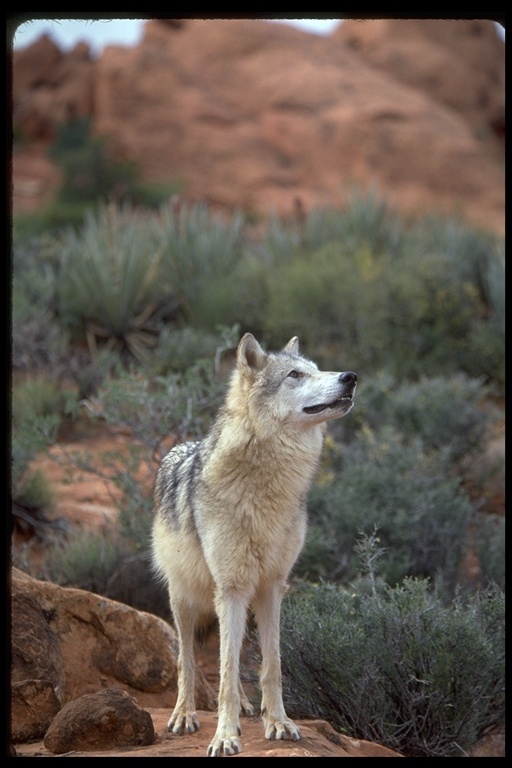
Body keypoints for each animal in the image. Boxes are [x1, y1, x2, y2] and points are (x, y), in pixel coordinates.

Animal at [152, 334, 356, 756]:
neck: (267, 488)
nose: (350, 377)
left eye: (317, 368)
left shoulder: (271, 587)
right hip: (185, 599)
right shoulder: (231, 589)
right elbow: (225, 672)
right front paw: (224, 737)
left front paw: (277, 723)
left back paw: (246, 708)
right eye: (295, 375)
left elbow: (269, 666)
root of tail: (179, 446)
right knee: (187, 661)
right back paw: (184, 715)